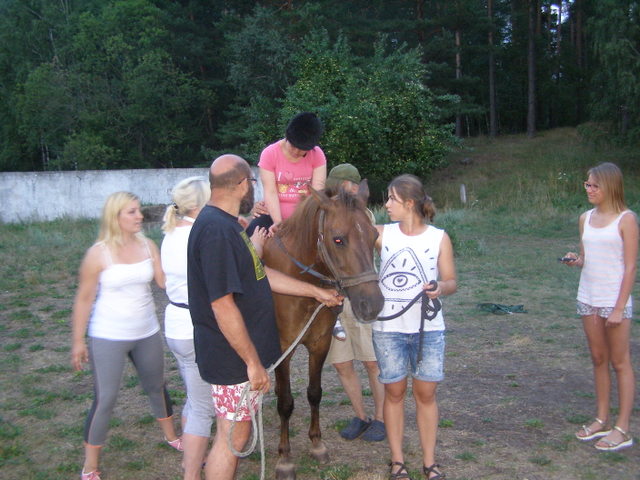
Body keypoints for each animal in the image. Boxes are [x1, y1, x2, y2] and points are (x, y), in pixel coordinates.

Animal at [261, 181, 384, 480]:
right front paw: (285, 459)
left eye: (374, 234)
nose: (373, 304)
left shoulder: (320, 343)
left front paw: (317, 445)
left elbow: (314, 393)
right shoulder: (284, 348)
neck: (302, 284)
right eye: (338, 239)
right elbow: (286, 402)